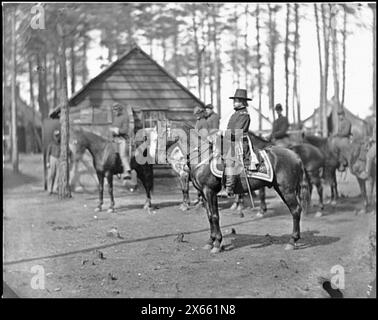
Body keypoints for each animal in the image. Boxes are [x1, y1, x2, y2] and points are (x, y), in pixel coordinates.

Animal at [167, 126, 308, 254]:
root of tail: (296, 156)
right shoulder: (203, 193)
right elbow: (209, 216)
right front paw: (210, 242)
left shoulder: (210, 191)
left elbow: (215, 216)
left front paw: (217, 244)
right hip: (282, 189)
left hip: (287, 190)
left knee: (295, 210)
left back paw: (292, 241)